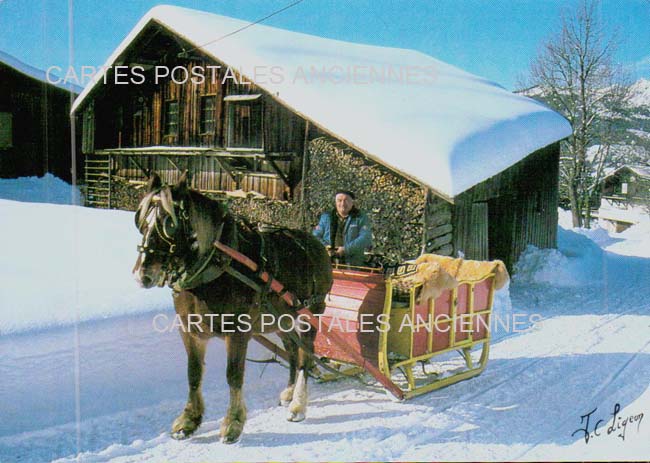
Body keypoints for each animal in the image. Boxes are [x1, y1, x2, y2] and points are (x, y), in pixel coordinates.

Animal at [133, 172, 334, 444]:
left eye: (169, 225)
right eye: (141, 221)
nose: (142, 275)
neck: (217, 266)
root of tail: (317, 245)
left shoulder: (238, 332)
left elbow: (234, 375)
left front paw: (233, 423)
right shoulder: (190, 331)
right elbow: (193, 373)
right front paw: (189, 420)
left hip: (310, 314)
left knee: (305, 355)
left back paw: (298, 405)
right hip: (282, 319)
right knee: (292, 351)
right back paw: (290, 392)